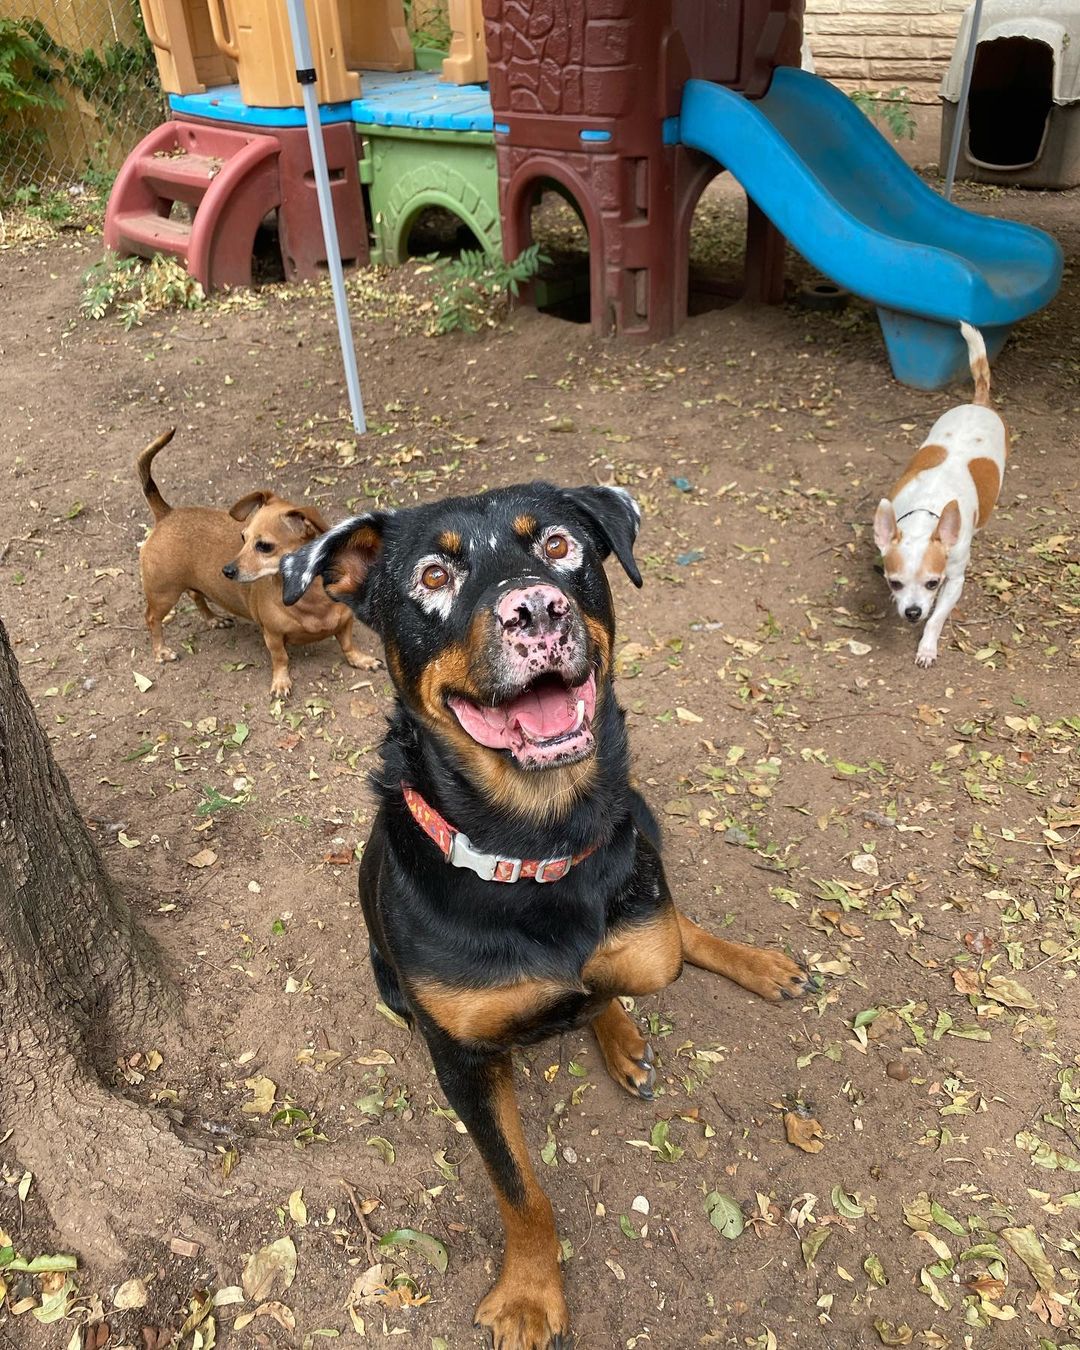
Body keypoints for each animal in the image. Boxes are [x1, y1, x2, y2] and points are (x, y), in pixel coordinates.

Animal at [282, 486, 804, 1350]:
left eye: (560, 545)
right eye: (433, 574)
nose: (535, 607)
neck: (534, 840)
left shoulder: (639, 930)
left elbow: (637, 956)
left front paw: (614, 1011)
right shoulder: (462, 1059)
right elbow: (520, 1188)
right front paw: (530, 1294)